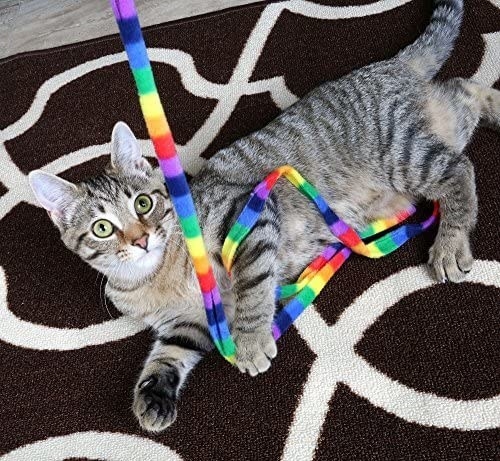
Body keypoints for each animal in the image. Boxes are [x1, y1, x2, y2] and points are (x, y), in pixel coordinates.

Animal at [29, 0, 498, 432]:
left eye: (143, 203)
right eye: (102, 228)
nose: (141, 238)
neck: (157, 278)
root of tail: (388, 65)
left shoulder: (247, 216)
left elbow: (253, 286)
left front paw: (251, 342)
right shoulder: (190, 322)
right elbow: (168, 354)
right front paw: (153, 395)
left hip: (402, 155)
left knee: (459, 168)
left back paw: (451, 243)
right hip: (435, 130)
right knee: (464, 89)